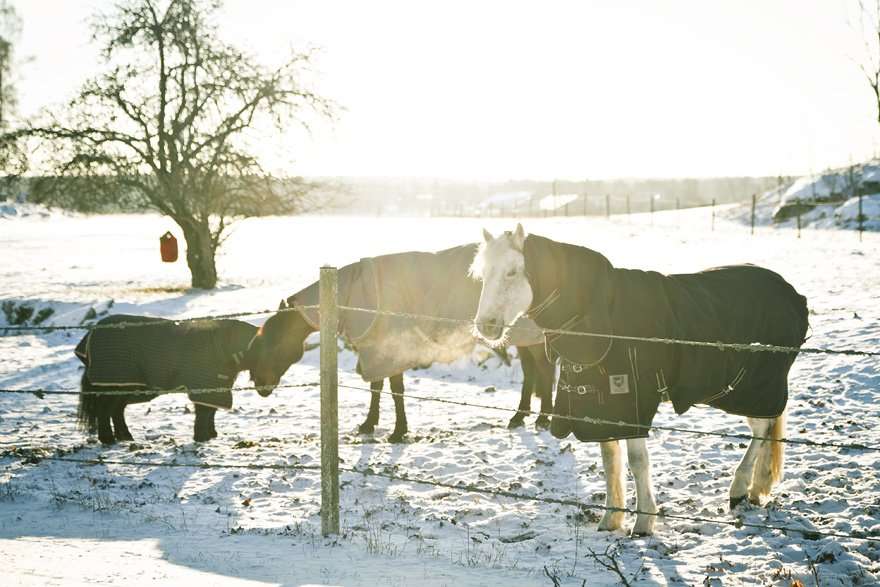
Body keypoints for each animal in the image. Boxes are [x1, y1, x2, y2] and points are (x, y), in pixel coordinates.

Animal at [474, 225, 804, 536]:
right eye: (482, 275)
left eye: (512, 272)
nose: (485, 326)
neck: (602, 320)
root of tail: (790, 292)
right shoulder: (603, 410)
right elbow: (610, 461)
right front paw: (611, 519)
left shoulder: (634, 405)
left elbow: (636, 461)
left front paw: (643, 522)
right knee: (766, 428)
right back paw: (756, 489)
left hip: (752, 389)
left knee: (762, 429)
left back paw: (739, 489)